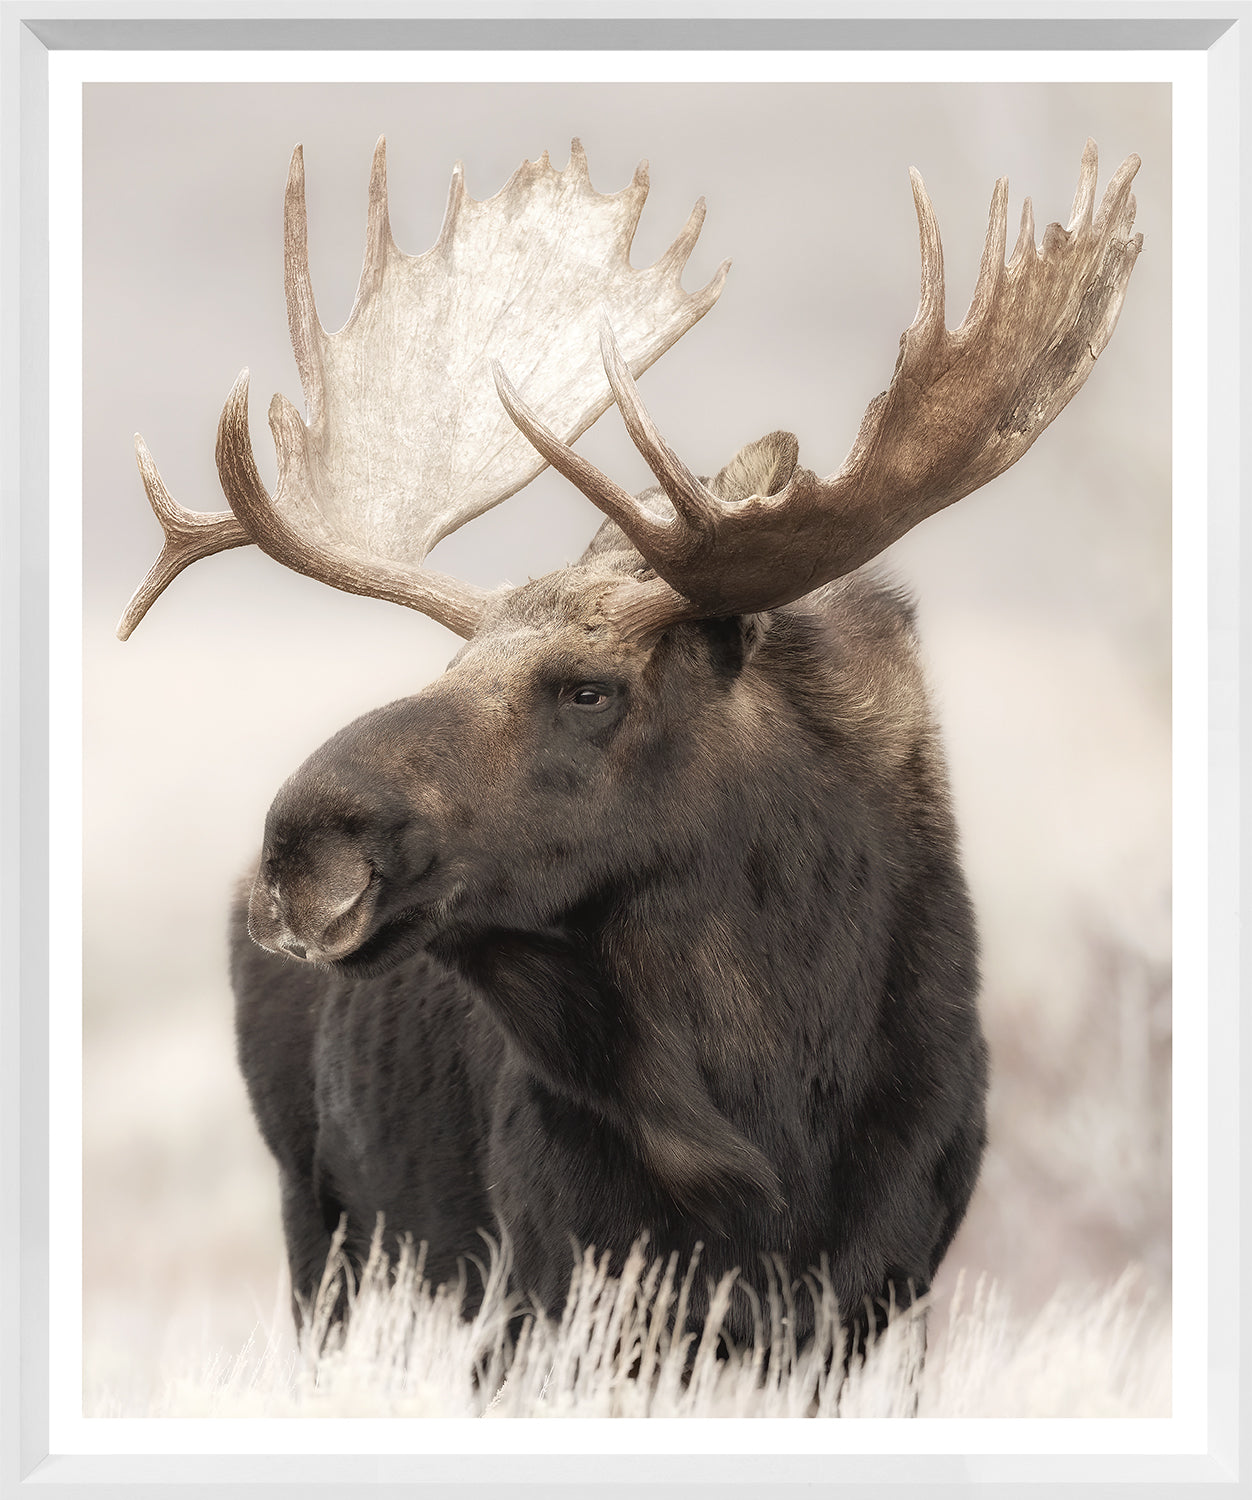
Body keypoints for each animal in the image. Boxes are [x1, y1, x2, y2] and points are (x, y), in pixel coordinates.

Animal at [119, 137, 1142, 1356]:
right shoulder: (546, 1283)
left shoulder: (879, 1299)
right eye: (447, 670)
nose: (303, 853)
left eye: (589, 689)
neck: (772, 1098)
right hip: (321, 1226)